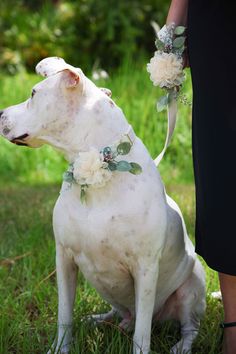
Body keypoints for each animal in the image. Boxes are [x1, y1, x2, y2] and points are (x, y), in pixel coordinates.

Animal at [0, 56, 205, 352]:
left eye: (33, 94)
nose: (0, 113)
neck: (95, 163)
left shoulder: (145, 268)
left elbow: (142, 333)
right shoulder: (64, 258)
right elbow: (64, 314)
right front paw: (60, 347)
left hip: (191, 286)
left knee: (187, 326)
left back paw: (181, 345)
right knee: (122, 314)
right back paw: (97, 320)